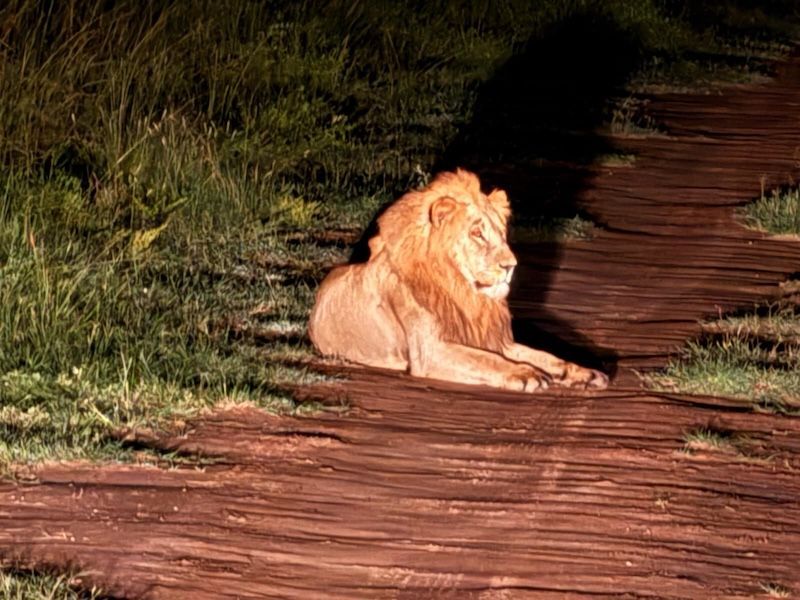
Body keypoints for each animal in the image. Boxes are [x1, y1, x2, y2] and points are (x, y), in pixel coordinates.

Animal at [308, 169, 608, 392]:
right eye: (477, 233)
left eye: (501, 233)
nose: (510, 266)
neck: (464, 292)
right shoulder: (430, 350)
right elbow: (485, 360)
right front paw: (526, 374)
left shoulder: (496, 340)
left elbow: (545, 356)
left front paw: (585, 373)